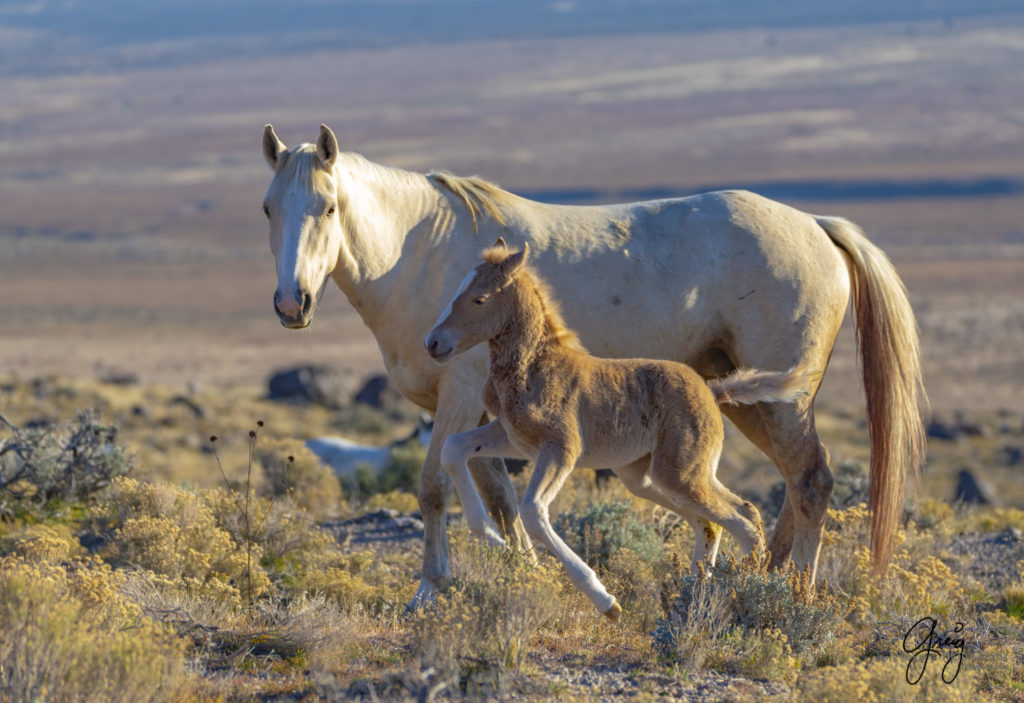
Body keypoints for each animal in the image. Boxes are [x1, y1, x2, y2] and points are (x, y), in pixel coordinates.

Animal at [258, 123, 929, 605]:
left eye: (328, 207)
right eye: (268, 208)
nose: (292, 303)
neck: (417, 250)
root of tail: (816, 224)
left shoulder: (458, 398)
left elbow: (432, 487)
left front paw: (430, 588)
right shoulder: (483, 416)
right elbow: (498, 494)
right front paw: (521, 568)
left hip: (781, 404)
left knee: (811, 480)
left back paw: (791, 594)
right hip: (747, 403)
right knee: (784, 489)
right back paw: (759, 577)